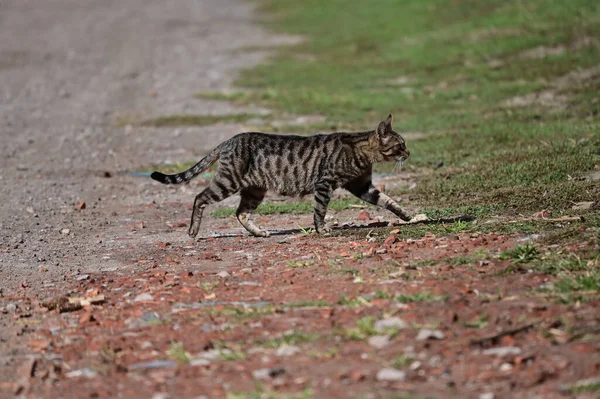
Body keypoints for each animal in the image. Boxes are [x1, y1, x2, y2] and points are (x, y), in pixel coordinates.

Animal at [151, 114, 412, 238]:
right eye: (400, 146)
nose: (409, 153)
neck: (361, 152)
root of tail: (228, 141)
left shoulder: (362, 186)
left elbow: (387, 200)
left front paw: (406, 215)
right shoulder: (325, 183)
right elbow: (320, 210)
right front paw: (321, 229)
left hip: (254, 190)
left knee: (240, 212)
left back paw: (258, 232)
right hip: (228, 182)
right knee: (200, 198)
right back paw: (193, 231)